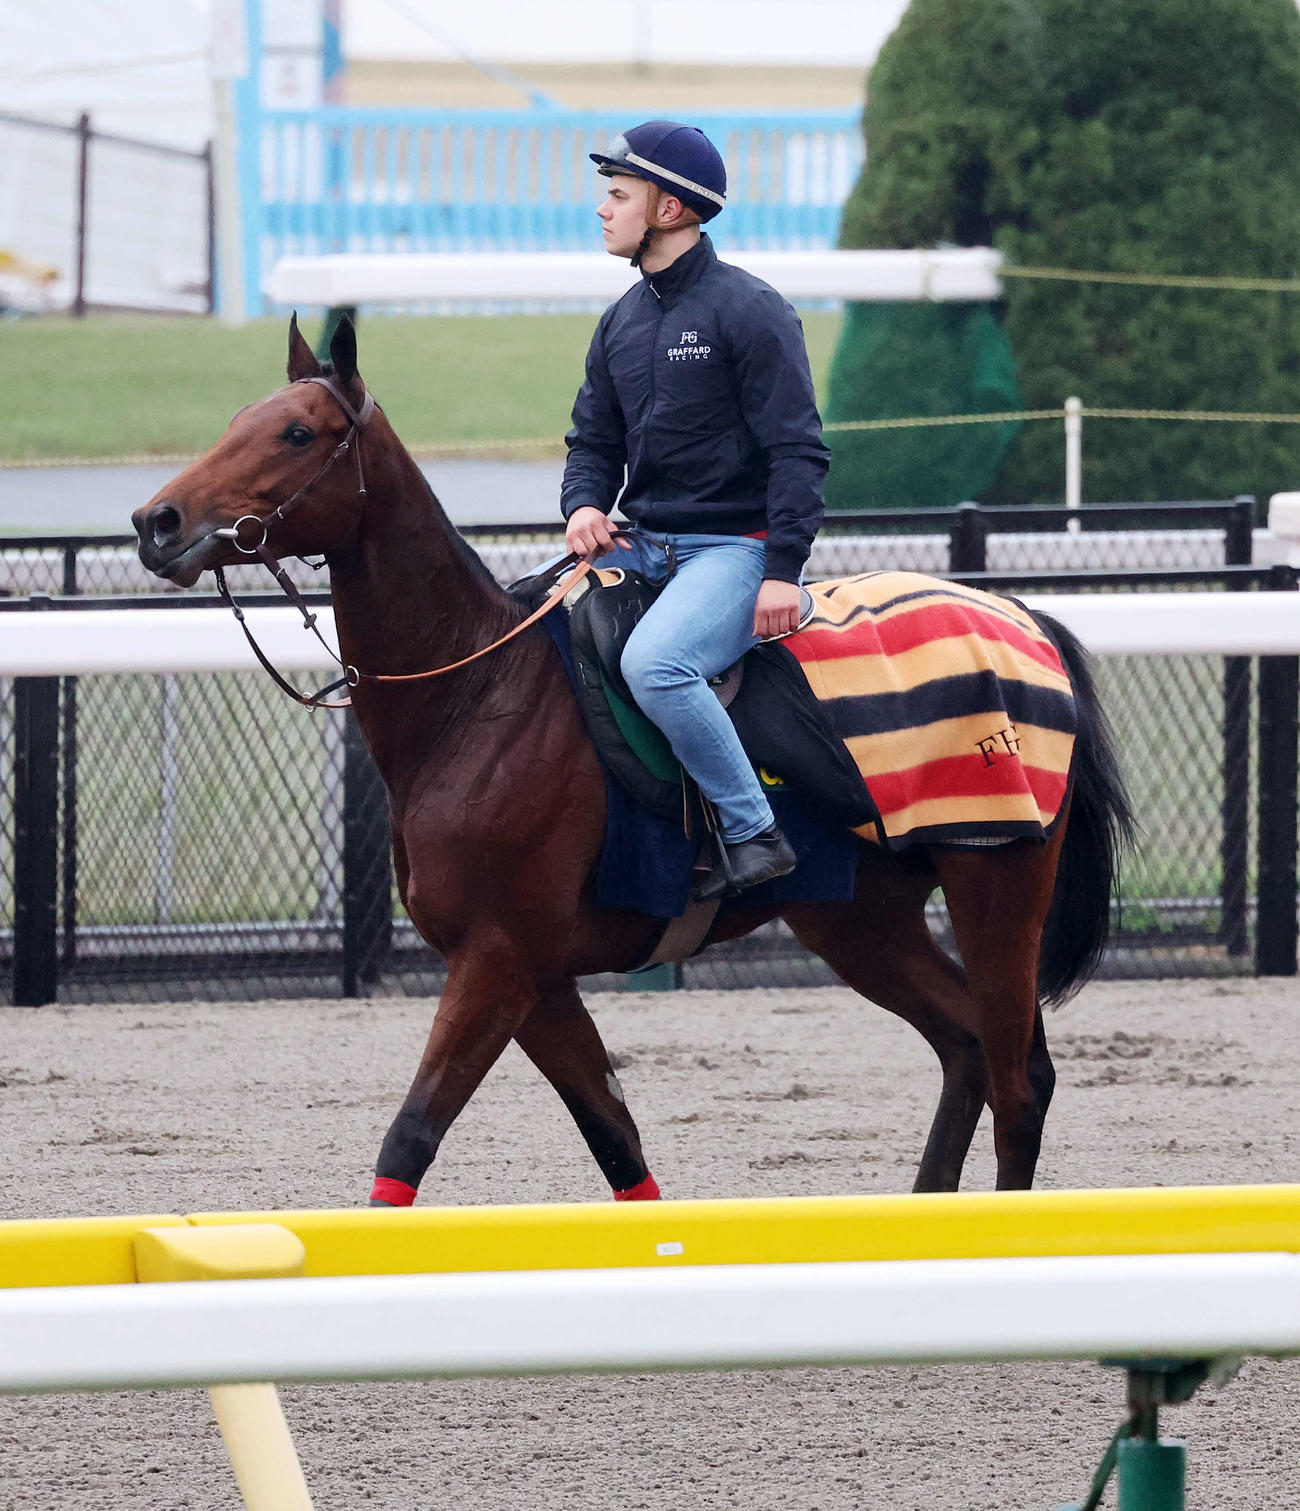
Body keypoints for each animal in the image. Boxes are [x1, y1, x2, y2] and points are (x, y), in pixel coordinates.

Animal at [131, 316, 1134, 1204]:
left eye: (297, 431)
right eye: (237, 420)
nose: (155, 519)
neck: (478, 693)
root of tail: (1020, 617)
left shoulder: (497, 961)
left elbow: (411, 1134)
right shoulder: (534, 976)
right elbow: (616, 1138)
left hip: (995, 884)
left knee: (1017, 1079)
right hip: (859, 918)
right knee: (964, 1047)